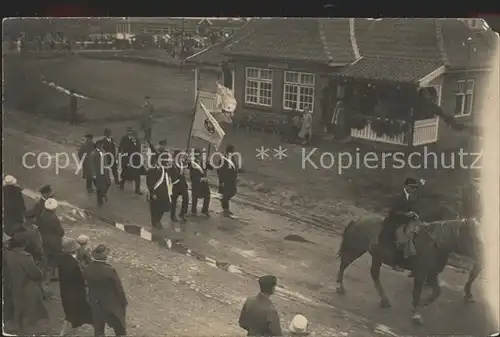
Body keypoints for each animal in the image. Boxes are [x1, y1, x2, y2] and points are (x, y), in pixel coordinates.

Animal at [334, 214, 482, 324]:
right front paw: (416, 314)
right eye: (473, 238)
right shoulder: (421, 274)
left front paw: (423, 303)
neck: (435, 244)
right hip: (357, 250)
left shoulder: (432, 274)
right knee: (344, 264)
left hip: (376, 256)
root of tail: (358, 219)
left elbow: (437, 292)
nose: (481, 257)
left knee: (374, 274)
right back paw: (340, 287)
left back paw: (384, 300)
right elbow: (417, 293)